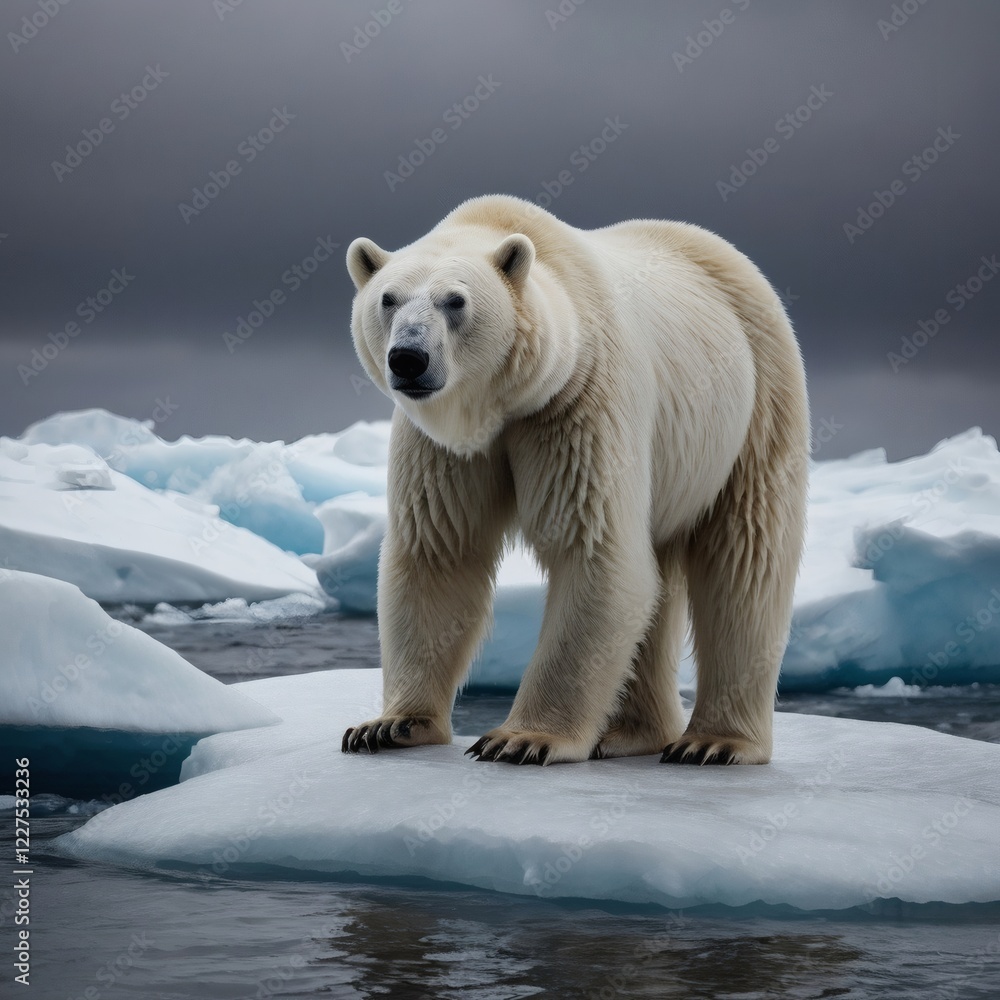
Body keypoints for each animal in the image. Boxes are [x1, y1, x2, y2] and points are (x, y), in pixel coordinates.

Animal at [341, 194, 808, 766]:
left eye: (456, 301)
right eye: (388, 299)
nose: (409, 358)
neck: (507, 402)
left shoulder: (577, 401)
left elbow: (595, 552)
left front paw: (520, 738)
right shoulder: (442, 446)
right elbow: (438, 551)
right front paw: (389, 726)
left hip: (756, 401)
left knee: (745, 559)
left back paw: (713, 743)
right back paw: (630, 733)